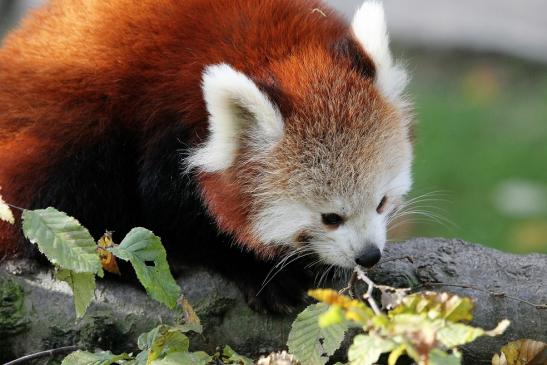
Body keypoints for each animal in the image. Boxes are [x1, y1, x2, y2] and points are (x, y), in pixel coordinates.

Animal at [0, 0, 412, 310]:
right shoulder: (169, 120)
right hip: (66, 117)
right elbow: (177, 209)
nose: (368, 256)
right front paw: (263, 273)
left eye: (381, 203)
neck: (280, 51)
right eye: (330, 218)